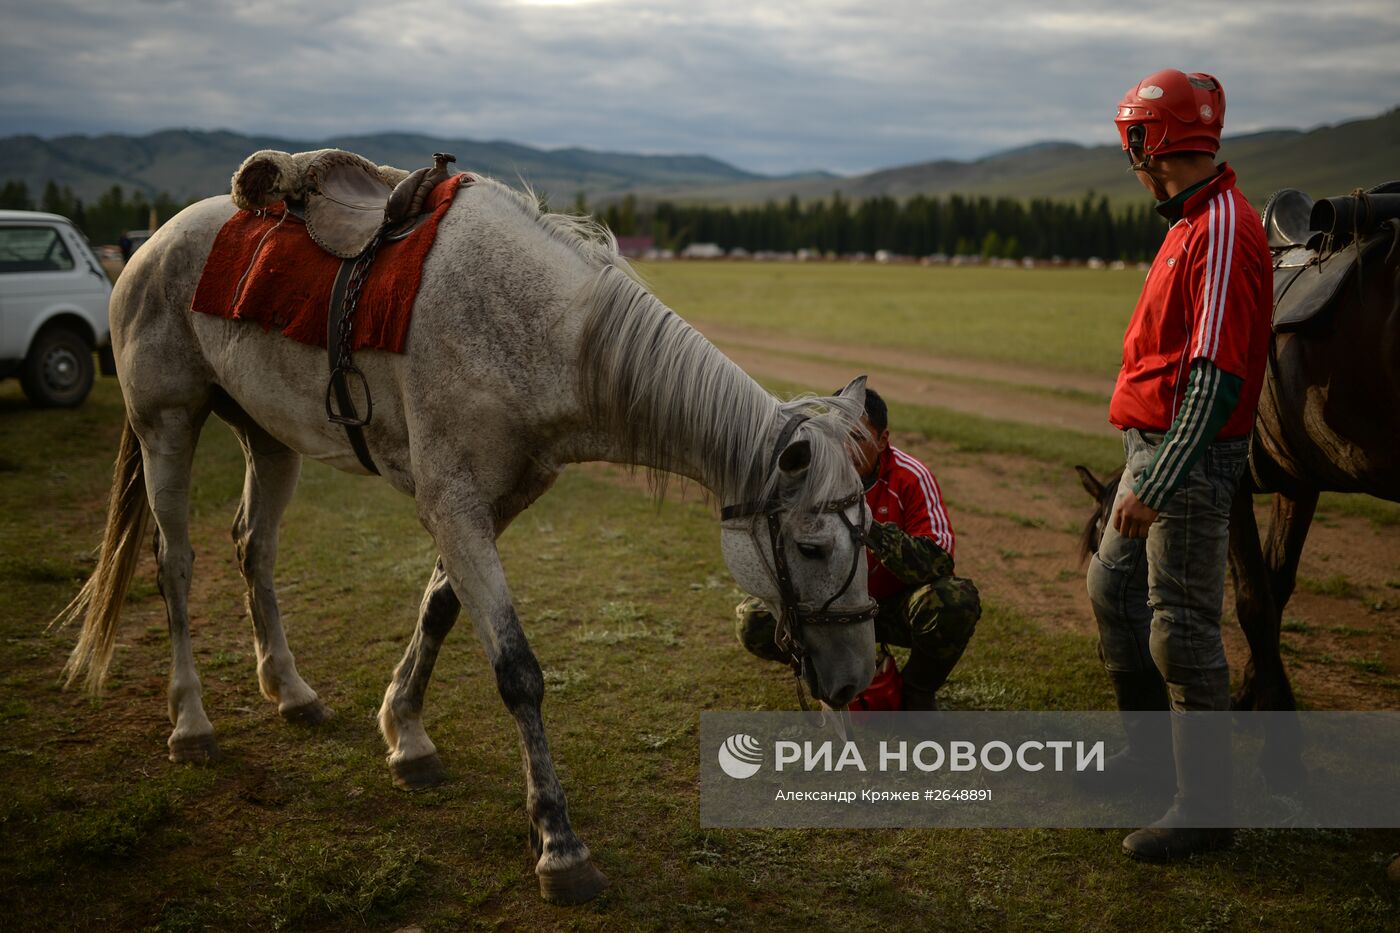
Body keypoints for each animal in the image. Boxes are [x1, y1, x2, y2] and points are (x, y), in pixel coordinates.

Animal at [60, 172, 879, 902]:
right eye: (811, 547)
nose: (853, 680)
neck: (539, 332)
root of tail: (150, 243)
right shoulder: (453, 505)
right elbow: (517, 670)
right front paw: (558, 844)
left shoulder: (495, 500)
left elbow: (440, 608)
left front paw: (406, 735)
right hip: (166, 424)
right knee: (175, 564)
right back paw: (190, 723)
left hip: (269, 437)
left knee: (252, 548)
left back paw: (291, 692)